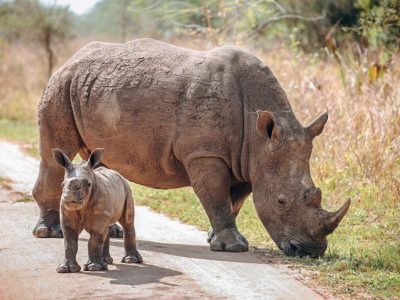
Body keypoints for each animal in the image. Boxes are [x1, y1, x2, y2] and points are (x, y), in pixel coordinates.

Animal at [32, 38, 350, 258]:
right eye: (282, 201)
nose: (310, 252)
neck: (259, 135)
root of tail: (70, 59)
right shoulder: (206, 152)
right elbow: (217, 197)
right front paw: (233, 248)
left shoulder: (248, 159)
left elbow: (234, 201)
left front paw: (215, 239)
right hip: (61, 85)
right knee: (56, 152)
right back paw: (48, 232)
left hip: (88, 89)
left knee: (96, 157)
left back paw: (110, 230)